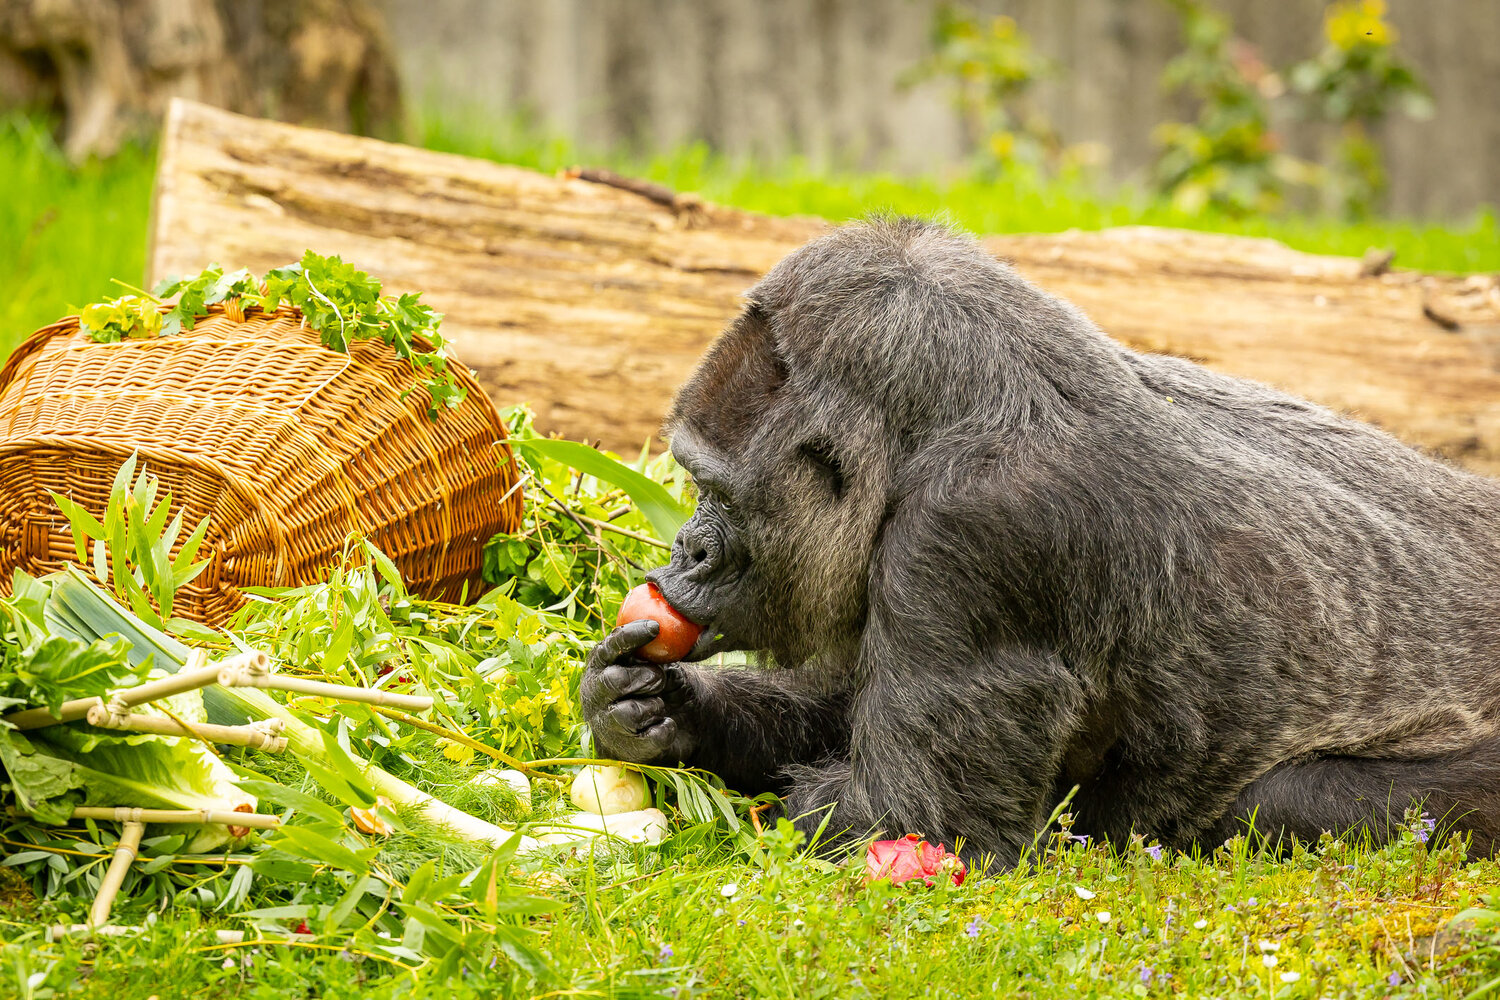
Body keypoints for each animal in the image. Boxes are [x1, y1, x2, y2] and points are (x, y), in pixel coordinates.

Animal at [581, 217, 1500, 865]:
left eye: (715, 491)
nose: (687, 552)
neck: (973, 402)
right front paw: (665, 710)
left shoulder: (977, 533)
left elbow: (909, 817)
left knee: (1280, 803)